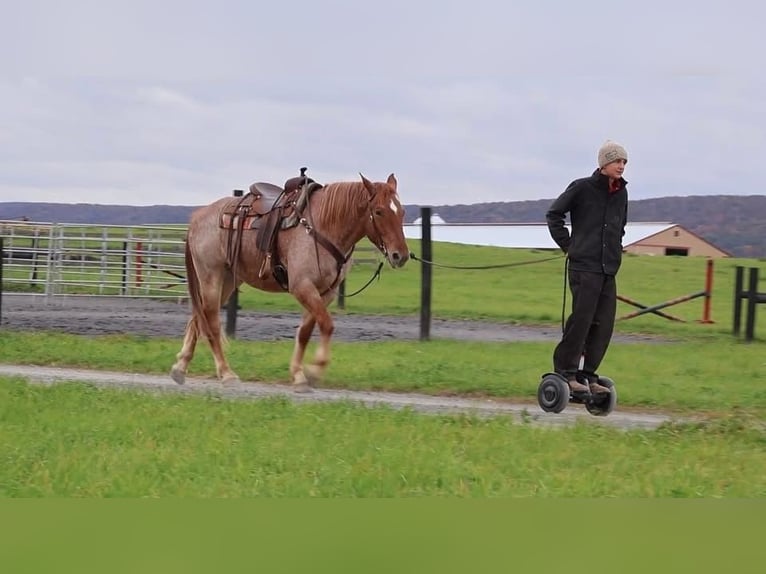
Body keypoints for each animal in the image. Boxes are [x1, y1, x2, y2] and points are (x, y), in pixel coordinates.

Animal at [170, 172, 410, 392]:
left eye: (402, 211)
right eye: (378, 211)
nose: (401, 255)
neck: (322, 226)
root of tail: (198, 217)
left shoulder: (325, 292)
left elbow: (305, 332)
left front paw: (299, 374)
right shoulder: (302, 287)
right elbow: (327, 324)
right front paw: (315, 370)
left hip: (227, 281)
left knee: (198, 318)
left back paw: (180, 367)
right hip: (211, 277)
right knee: (210, 322)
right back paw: (226, 373)